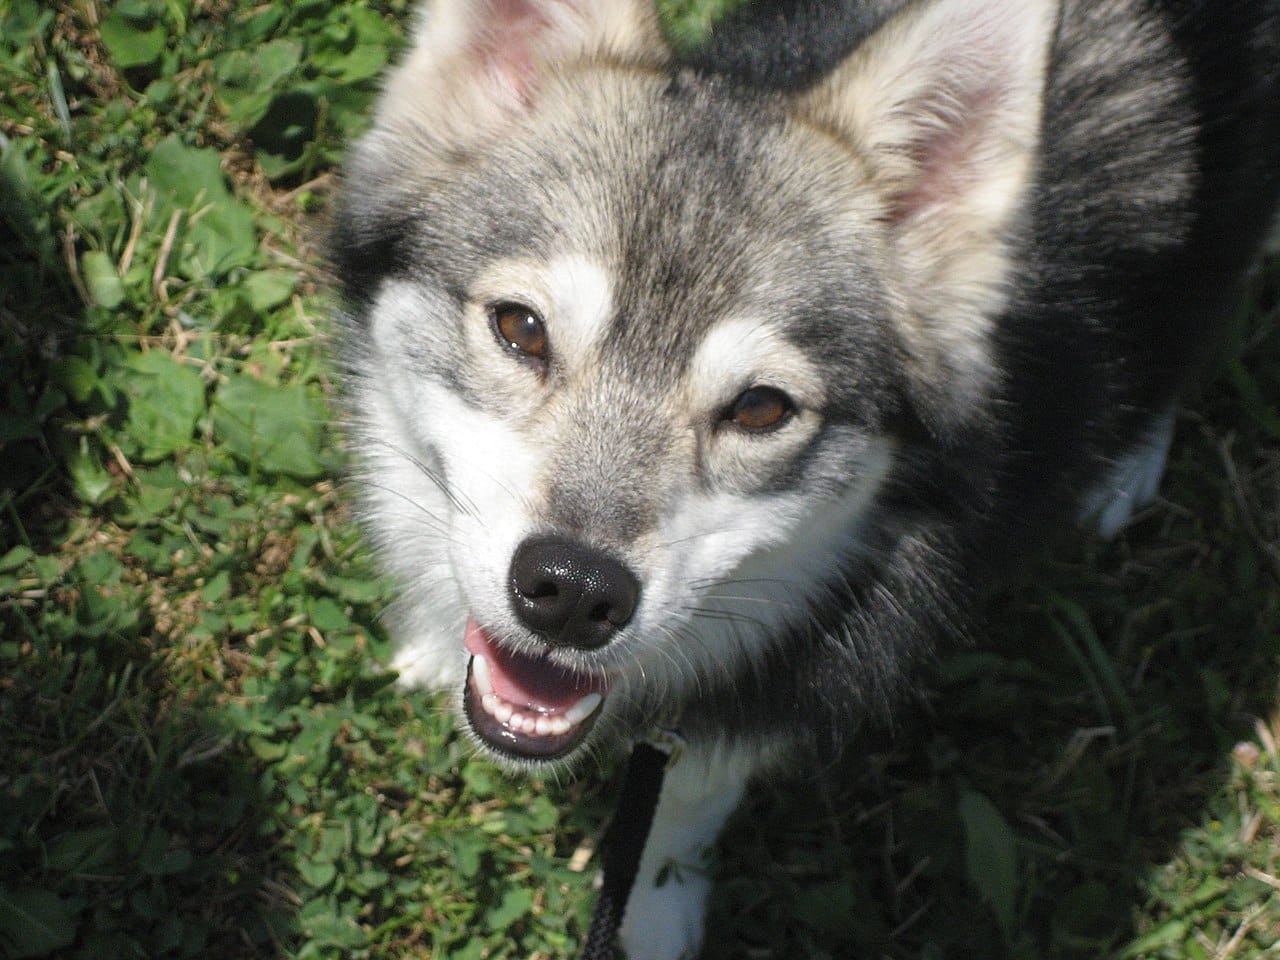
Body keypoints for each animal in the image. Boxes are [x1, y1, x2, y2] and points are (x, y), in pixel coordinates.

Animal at [335, 3, 1280, 957]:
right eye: (520, 328)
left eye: (760, 408)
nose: (573, 593)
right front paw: (433, 635)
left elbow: (689, 797)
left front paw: (657, 906)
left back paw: (1127, 466)